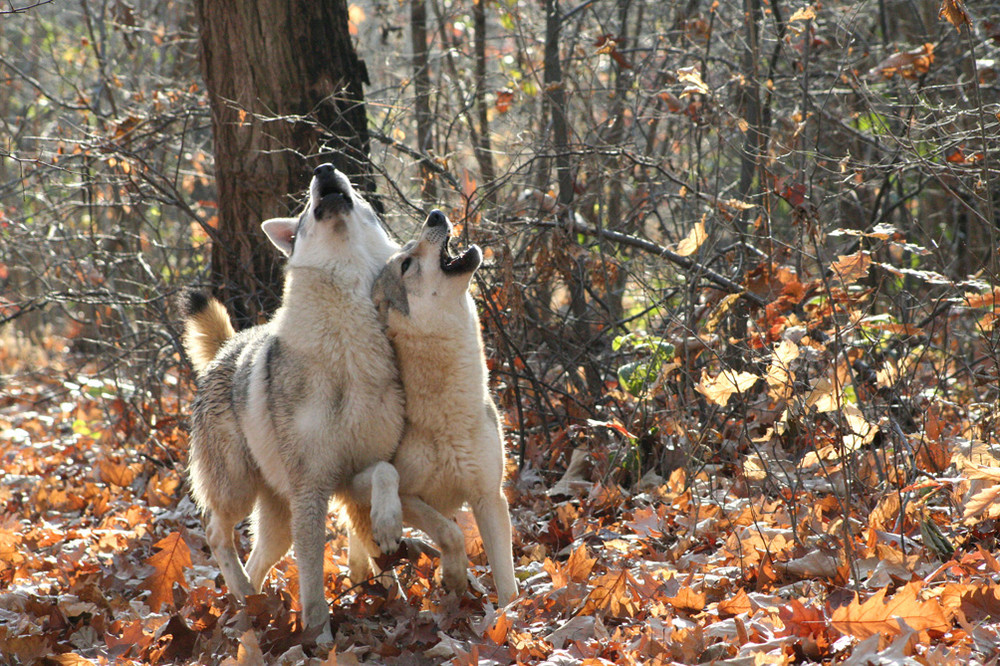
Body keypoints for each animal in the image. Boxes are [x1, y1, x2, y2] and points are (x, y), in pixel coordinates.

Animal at [180, 162, 402, 640]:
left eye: (360, 198)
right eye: (303, 212)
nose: (324, 167)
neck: (345, 347)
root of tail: (230, 346)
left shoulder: (352, 475)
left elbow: (385, 480)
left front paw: (392, 553)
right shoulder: (311, 490)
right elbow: (313, 583)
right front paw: (320, 639)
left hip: (277, 520)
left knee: (257, 559)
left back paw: (251, 604)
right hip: (238, 490)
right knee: (215, 533)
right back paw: (244, 597)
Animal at [368, 210, 524, 604]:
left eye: (410, 247)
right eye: (406, 263)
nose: (436, 214)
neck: (447, 416)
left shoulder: (490, 498)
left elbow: (507, 581)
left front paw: (511, 615)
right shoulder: (410, 497)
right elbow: (450, 534)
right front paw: (452, 577)